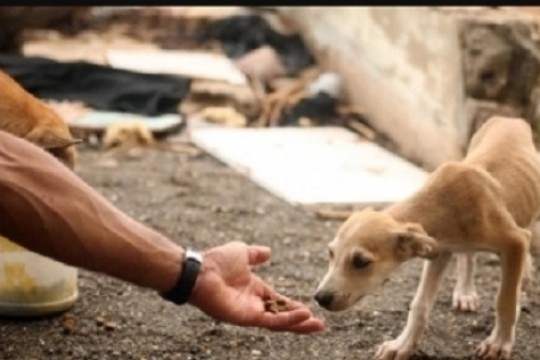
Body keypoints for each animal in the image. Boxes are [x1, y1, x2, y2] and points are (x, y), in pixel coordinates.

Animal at [312, 116, 540, 358]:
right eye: (331, 253)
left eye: (361, 262)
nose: (320, 298)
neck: (444, 203)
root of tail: (508, 118)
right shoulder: (440, 250)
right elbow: (419, 305)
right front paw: (402, 346)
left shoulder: (514, 241)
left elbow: (505, 300)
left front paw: (499, 343)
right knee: (469, 256)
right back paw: (466, 292)